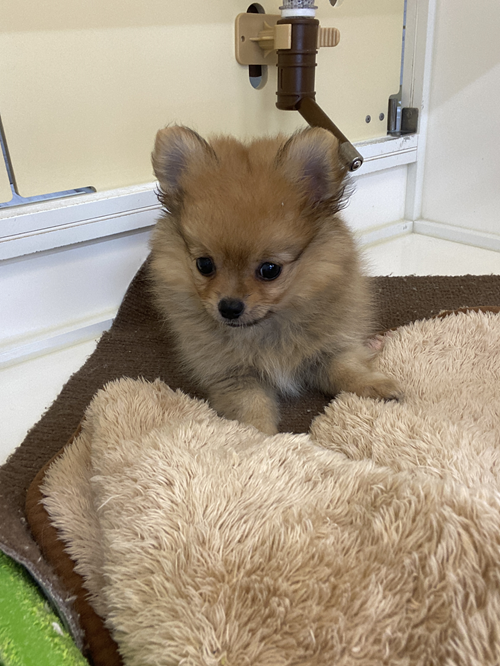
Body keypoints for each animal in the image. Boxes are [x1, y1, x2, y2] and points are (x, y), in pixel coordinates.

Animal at [149, 125, 400, 434]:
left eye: (269, 270)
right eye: (204, 264)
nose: (229, 307)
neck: (266, 329)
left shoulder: (328, 349)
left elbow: (347, 369)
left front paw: (375, 385)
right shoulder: (233, 376)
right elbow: (252, 411)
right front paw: (263, 440)